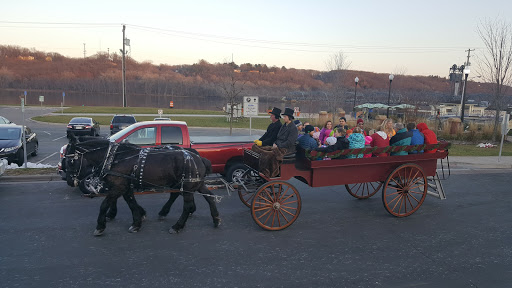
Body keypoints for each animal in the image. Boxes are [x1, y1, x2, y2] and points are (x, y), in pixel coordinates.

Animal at [66, 137, 220, 236]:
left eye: (70, 161)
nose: (68, 180)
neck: (114, 158)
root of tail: (198, 157)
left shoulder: (118, 187)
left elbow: (104, 204)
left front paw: (100, 226)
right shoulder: (126, 187)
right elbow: (131, 203)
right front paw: (137, 222)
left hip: (187, 186)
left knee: (186, 206)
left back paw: (177, 226)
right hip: (196, 184)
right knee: (210, 197)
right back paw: (216, 219)